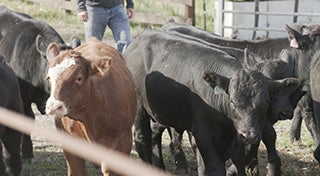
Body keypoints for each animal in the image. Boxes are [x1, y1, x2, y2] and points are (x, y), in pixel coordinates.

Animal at [124, 29, 298, 175]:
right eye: (232, 102)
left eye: (265, 101)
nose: (249, 135)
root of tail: (140, 37)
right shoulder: (204, 136)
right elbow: (214, 168)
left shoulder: (236, 142)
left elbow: (238, 164)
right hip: (139, 107)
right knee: (142, 138)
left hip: (161, 112)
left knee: (155, 133)